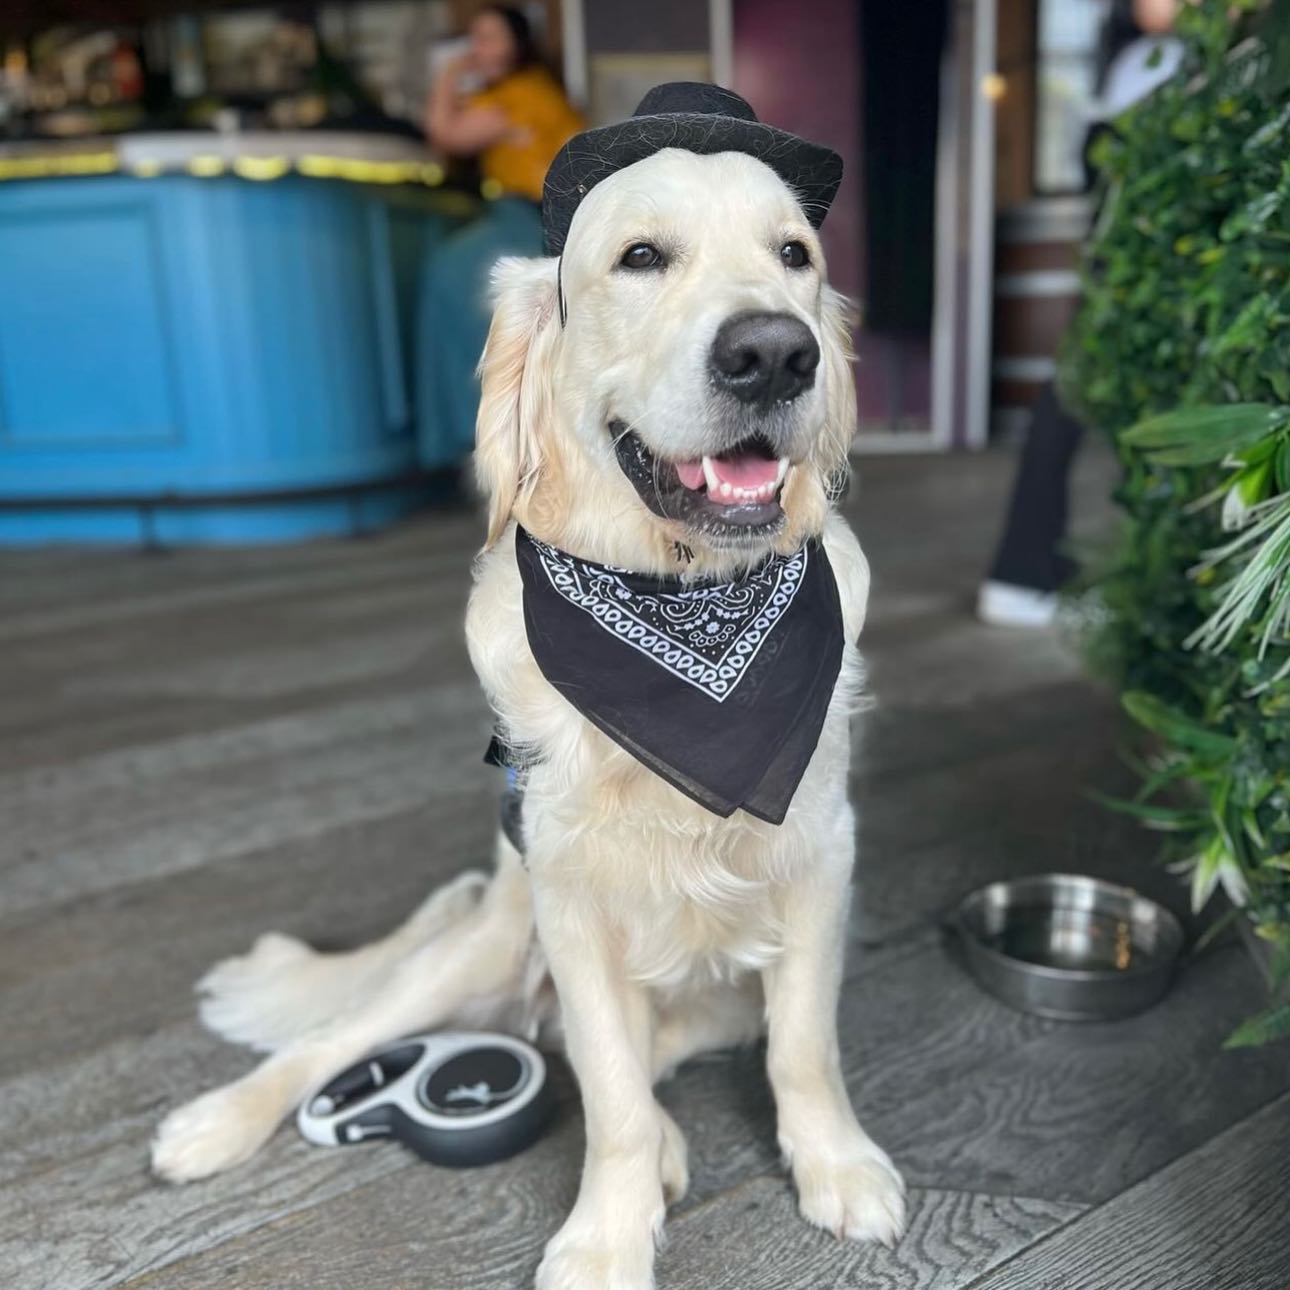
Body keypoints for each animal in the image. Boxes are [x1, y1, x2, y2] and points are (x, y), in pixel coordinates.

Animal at [150, 128, 903, 1279]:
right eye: (640, 257)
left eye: (795, 256)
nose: (777, 353)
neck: (681, 601)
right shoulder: (569, 902)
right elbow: (609, 1089)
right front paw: (605, 1240)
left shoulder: (819, 857)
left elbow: (801, 1047)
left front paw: (836, 1163)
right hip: (486, 942)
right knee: (339, 1041)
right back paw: (212, 1124)